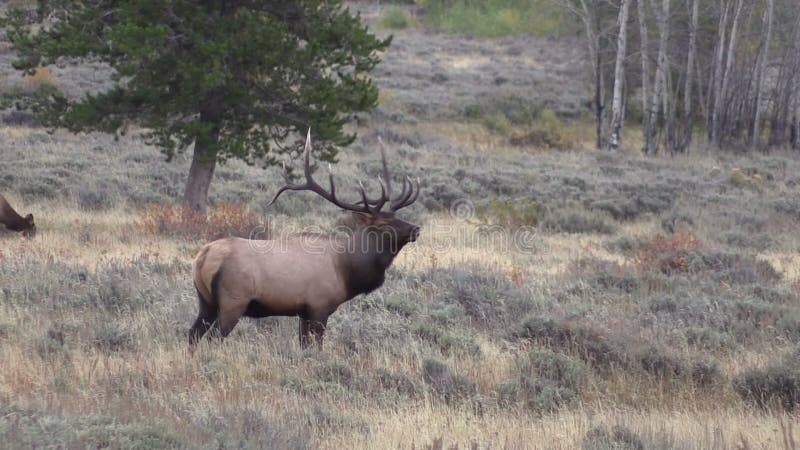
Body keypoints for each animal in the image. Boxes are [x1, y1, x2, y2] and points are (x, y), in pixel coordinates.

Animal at [191, 132, 422, 350]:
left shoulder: (303, 312)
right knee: (212, 338)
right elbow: (316, 346)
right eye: (383, 224)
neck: (346, 270)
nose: (416, 229)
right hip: (233, 301)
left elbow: (304, 345)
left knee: (193, 334)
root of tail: (204, 256)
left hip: (206, 301)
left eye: (397, 217)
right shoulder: (319, 306)